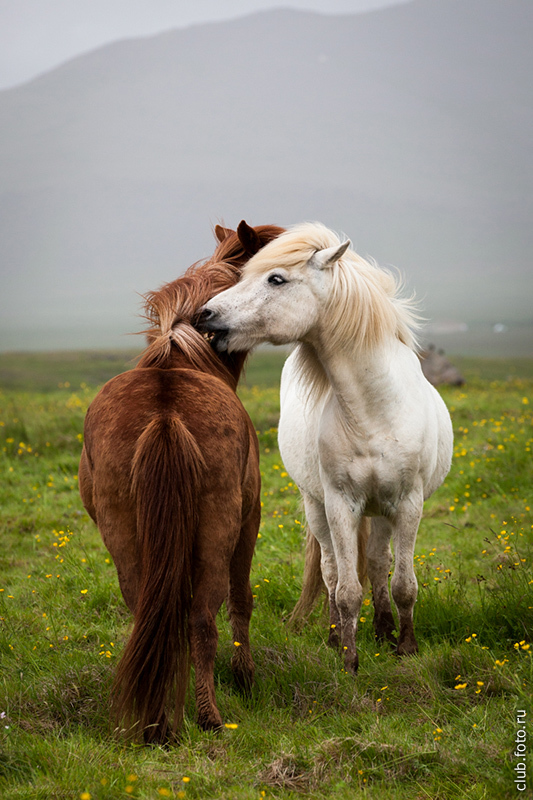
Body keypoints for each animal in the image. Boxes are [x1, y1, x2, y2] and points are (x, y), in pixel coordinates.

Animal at [78, 220, 282, 744]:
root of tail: (165, 413)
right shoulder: (250, 518)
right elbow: (242, 600)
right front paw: (246, 678)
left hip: (123, 532)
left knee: (147, 613)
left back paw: (154, 722)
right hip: (218, 527)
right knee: (203, 619)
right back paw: (210, 717)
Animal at [200, 222, 454, 672]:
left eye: (276, 279)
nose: (205, 315)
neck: (375, 410)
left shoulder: (409, 503)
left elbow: (404, 583)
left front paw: (405, 647)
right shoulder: (340, 503)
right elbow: (348, 589)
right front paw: (350, 660)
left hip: (383, 510)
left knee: (378, 564)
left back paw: (384, 632)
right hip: (316, 506)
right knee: (333, 572)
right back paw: (337, 637)